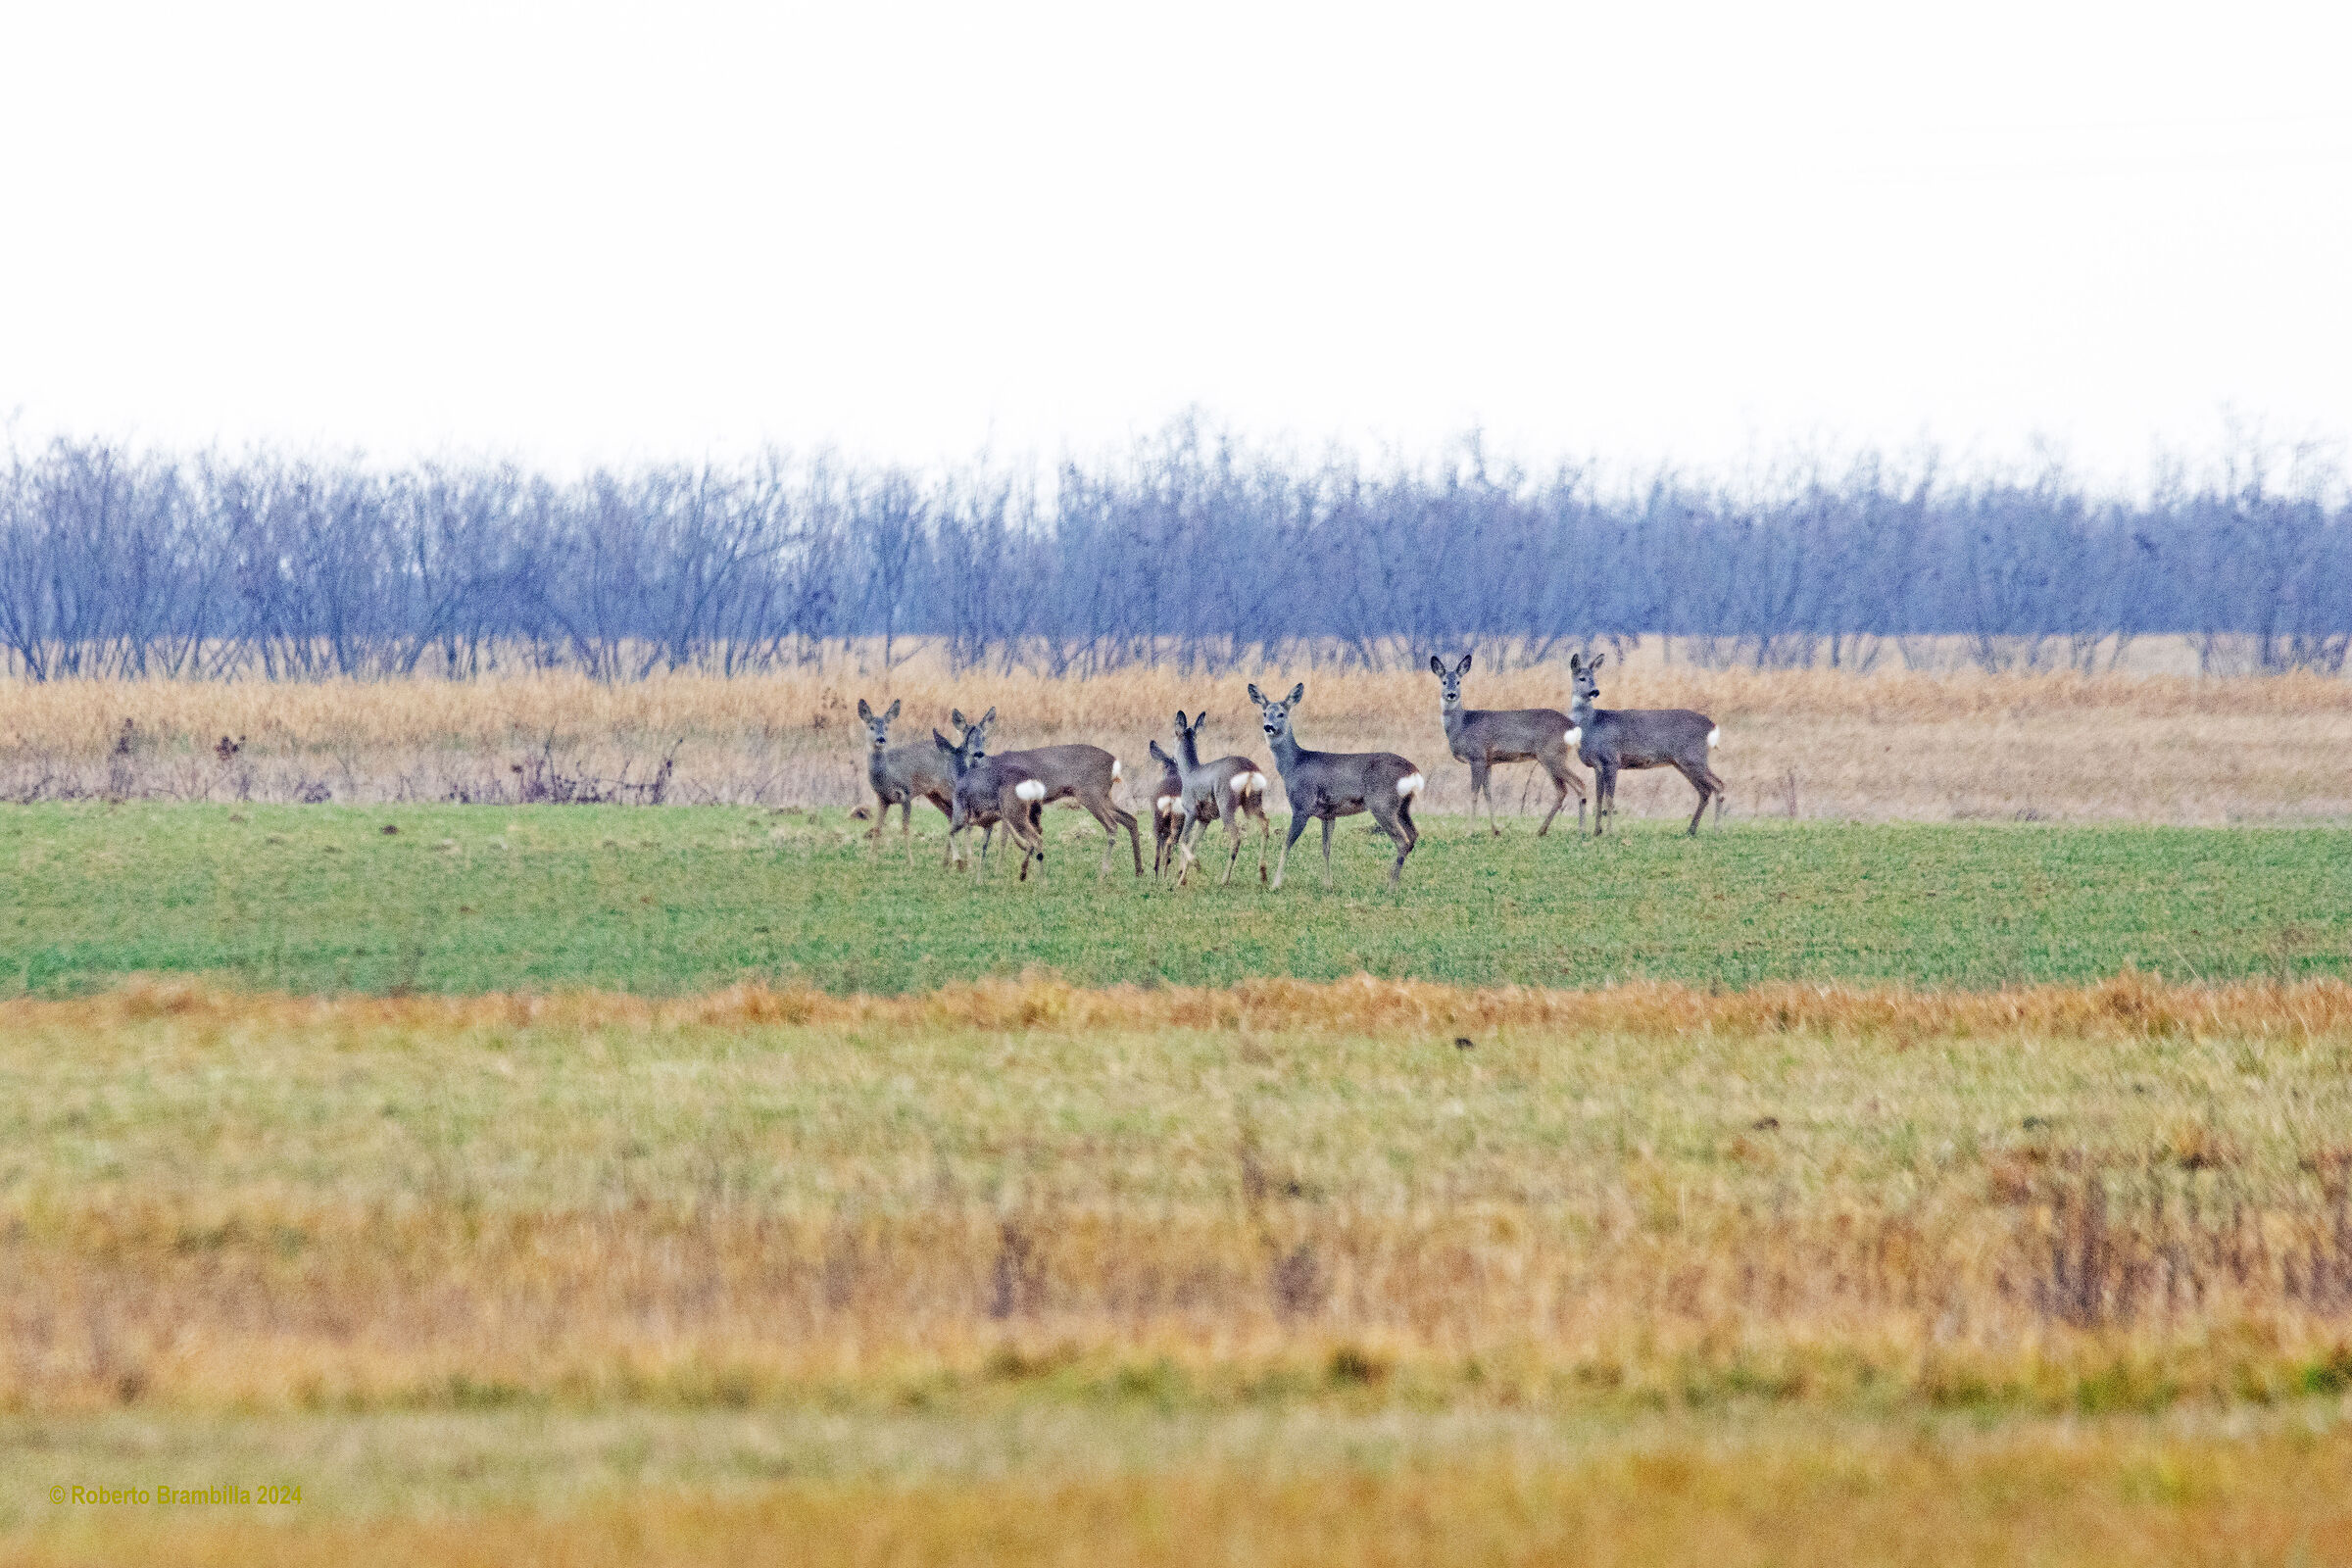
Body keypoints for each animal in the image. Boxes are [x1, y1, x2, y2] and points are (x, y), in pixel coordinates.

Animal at [859, 699, 991, 866]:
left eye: (886, 727)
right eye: (871, 726)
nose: (881, 739)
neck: (888, 772)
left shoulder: (906, 792)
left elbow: (905, 828)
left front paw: (910, 862)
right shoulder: (882, 798)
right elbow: (877, 828)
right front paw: (870, 862)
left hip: (950, 790)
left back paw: (964, 860)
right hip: (934, 794)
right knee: (951, 817)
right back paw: (947, 862)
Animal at [1148, 709, 1271, 887]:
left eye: (1173, 736)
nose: (1172, 755)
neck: (1190, 772)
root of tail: (1249, 772)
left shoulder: (1191, 810)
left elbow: (1183, 840)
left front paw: (1191, 871)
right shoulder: (1205, 819)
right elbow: (1193, 844)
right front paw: (1182, 877)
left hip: (1226, 802)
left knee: (1236, 836)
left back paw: (1224, 879)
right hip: (1253, 801)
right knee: (1265, 825)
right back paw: (1262, 874)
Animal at [1247, 682, 1424, 889]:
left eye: (1282, 714)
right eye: (1265, 713)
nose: (1268, 726)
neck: (1293, 765)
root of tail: (1413, 772)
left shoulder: (1301, 806)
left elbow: (1286, 844)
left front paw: (1275, 884)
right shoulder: (1328, 814)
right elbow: (1326, 848)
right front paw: (1328, 884)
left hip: (1382, 803)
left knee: (1402, 841)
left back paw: (1390, 887)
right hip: (1403, 806)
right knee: (1413, 835)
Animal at [1428, 652, 1587, 837]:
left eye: (1459, 681)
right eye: (1444, 681)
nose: (1451, 694)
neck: (1462, 725)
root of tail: (1572, 726)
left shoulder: (1477, 756)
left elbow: (1474, 794)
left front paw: (1469, 832)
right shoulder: (1488, 761)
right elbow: (1488, 794)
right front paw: (1495, 830)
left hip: (1552, 755)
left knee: (1579, 784)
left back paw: (1581, 831)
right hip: (1548, 758)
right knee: (1562, 791)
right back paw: (1542, 830)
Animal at [1566, 651, 1725, 836]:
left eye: (1594, 678)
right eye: (1582, 678)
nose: (1595, 691)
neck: (1591, 725)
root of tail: (1712, 726)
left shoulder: (1611, 760)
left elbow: (1609, 799)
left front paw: (1609, 832)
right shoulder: (1598, 766)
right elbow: (1599, 798)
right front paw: (1596, 831)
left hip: (1693, 756)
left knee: (1717, 786)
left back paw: (1716, 829)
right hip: (1682, 762)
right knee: (1708, 789)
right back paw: (1692, 830)